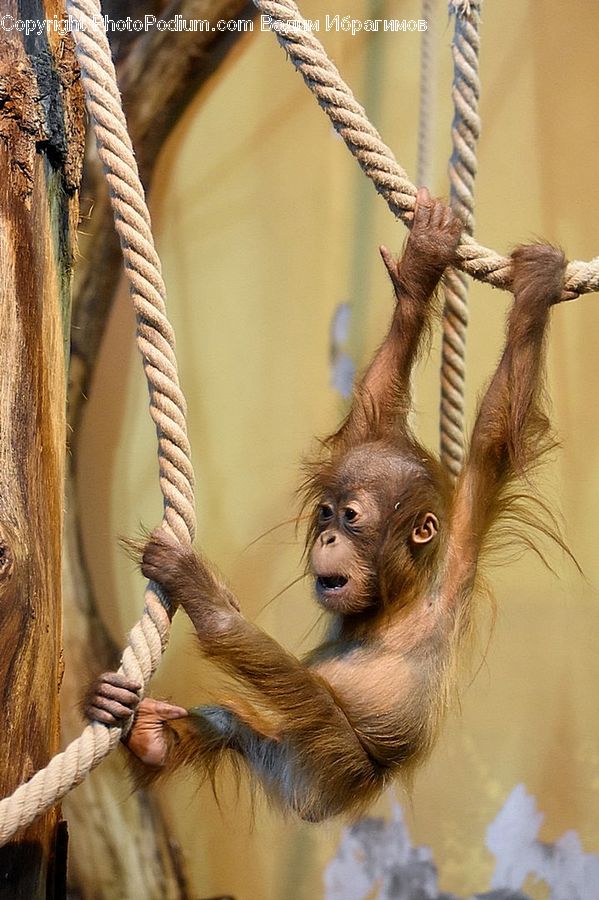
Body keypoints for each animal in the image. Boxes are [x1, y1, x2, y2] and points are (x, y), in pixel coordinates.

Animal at [86, 187, 569, 822]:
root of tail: (321, 797)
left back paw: (208, 610)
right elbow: (373, 414)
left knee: (312, 697)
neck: (397, 601)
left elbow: (495, 437)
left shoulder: (457, 554)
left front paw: (536, 289)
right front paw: (421, 271)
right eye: (325, 513)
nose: (329, 536)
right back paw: (153, 739)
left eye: (351, 518)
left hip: (333, 759)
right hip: (297, 756)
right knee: (241, 723)